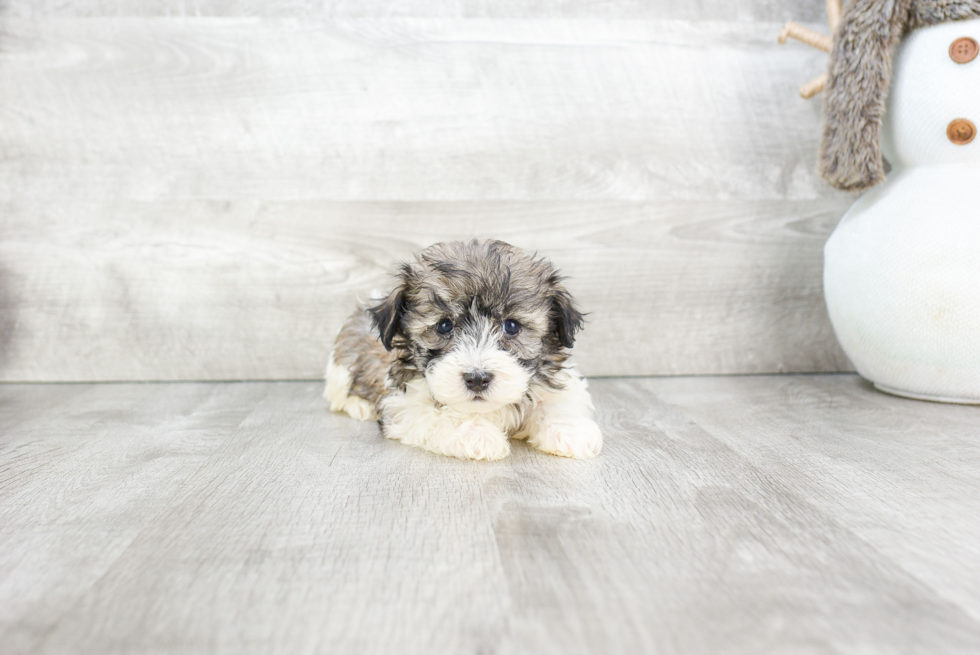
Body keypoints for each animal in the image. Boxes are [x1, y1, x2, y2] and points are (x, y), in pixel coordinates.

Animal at [326, 241, 600, 462]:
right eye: (444, 326)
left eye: (511, 326)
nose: (477, 379)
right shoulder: (402, 403)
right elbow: (438, 414)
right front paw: (475, 434)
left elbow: (558, 401)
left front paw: (569, 430)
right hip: (340, 370)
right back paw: (358, 406)